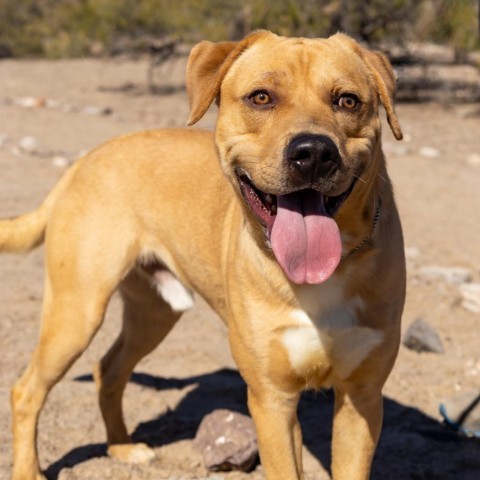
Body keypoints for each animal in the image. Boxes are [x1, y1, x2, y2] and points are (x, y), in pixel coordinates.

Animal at [0, 31, 404, 480]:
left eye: (347, 101)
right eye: (261, 97)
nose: (314, 152)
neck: (320, 277)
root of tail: (83, 160)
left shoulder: (361, 398)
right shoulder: (271, 399)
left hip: (154, 314)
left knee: (108, 369)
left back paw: (122, 447)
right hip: (76, 312)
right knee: (26, 390)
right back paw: (29, 469)